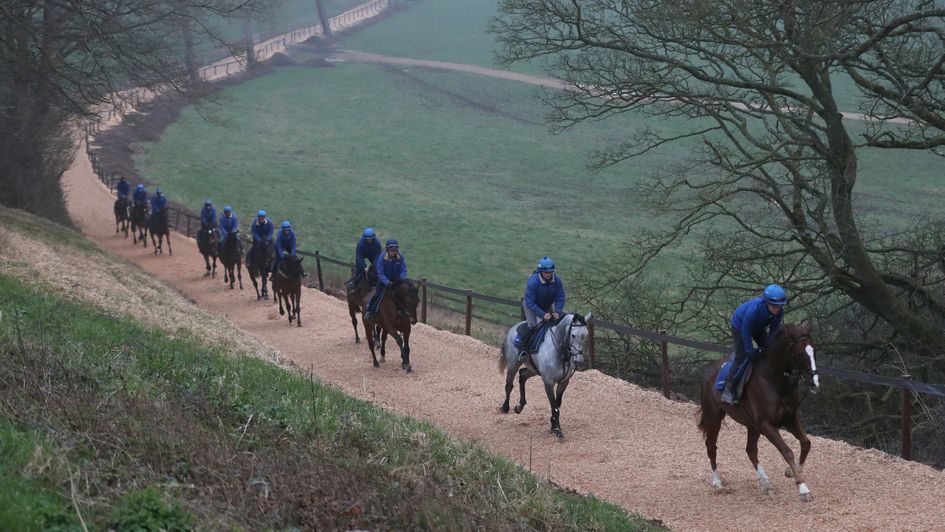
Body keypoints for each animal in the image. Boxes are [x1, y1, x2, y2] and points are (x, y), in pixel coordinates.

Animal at [692, 320, 820, 502]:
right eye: (799, 353)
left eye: (814, 350)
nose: (814, 383)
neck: (775, 380)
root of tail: (709, 372)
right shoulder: (766, 424)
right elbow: (787, 451)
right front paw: (802, 488)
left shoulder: (790, 418)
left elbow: (806, 443)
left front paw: (793, 471)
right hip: (714, 417)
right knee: (711, 446)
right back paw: (717, 481)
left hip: (752, 425)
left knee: (750, 450)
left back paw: (765, 483)